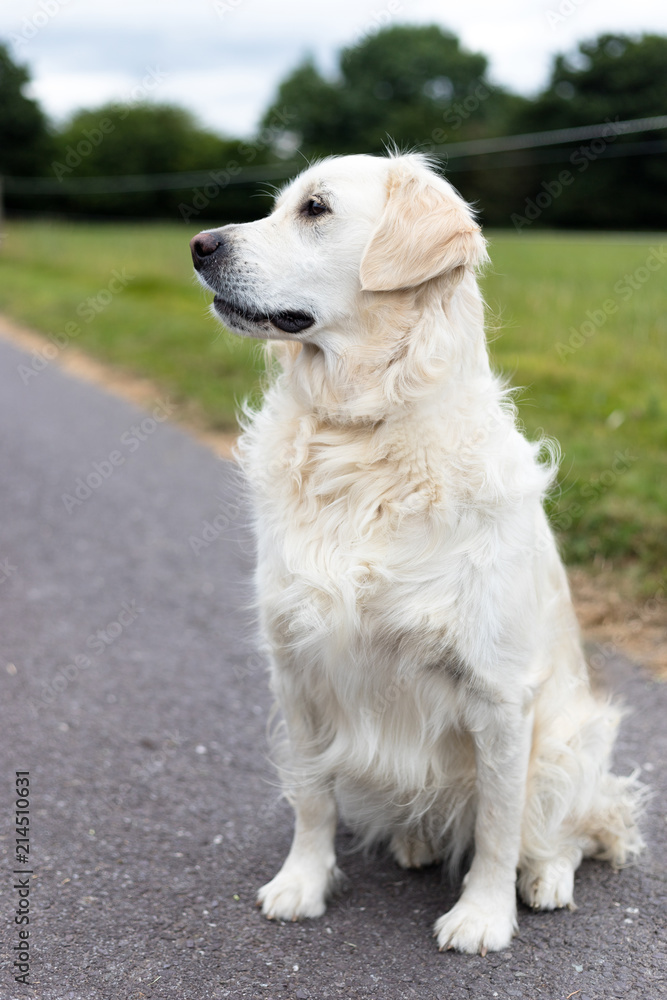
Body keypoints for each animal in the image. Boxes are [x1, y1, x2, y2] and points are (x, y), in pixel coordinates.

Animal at [190, 154, 644, 952]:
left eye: (315, 209)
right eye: (280, 204)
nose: (198, 245)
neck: (361, 435)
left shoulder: (499, 694)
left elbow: (497, 824)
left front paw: (483, 917)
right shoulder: (296, 669)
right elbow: (311, 798)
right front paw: (301, 884)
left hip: (572, 741)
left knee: (565, 829)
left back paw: (546, 879)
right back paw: (415, 842)